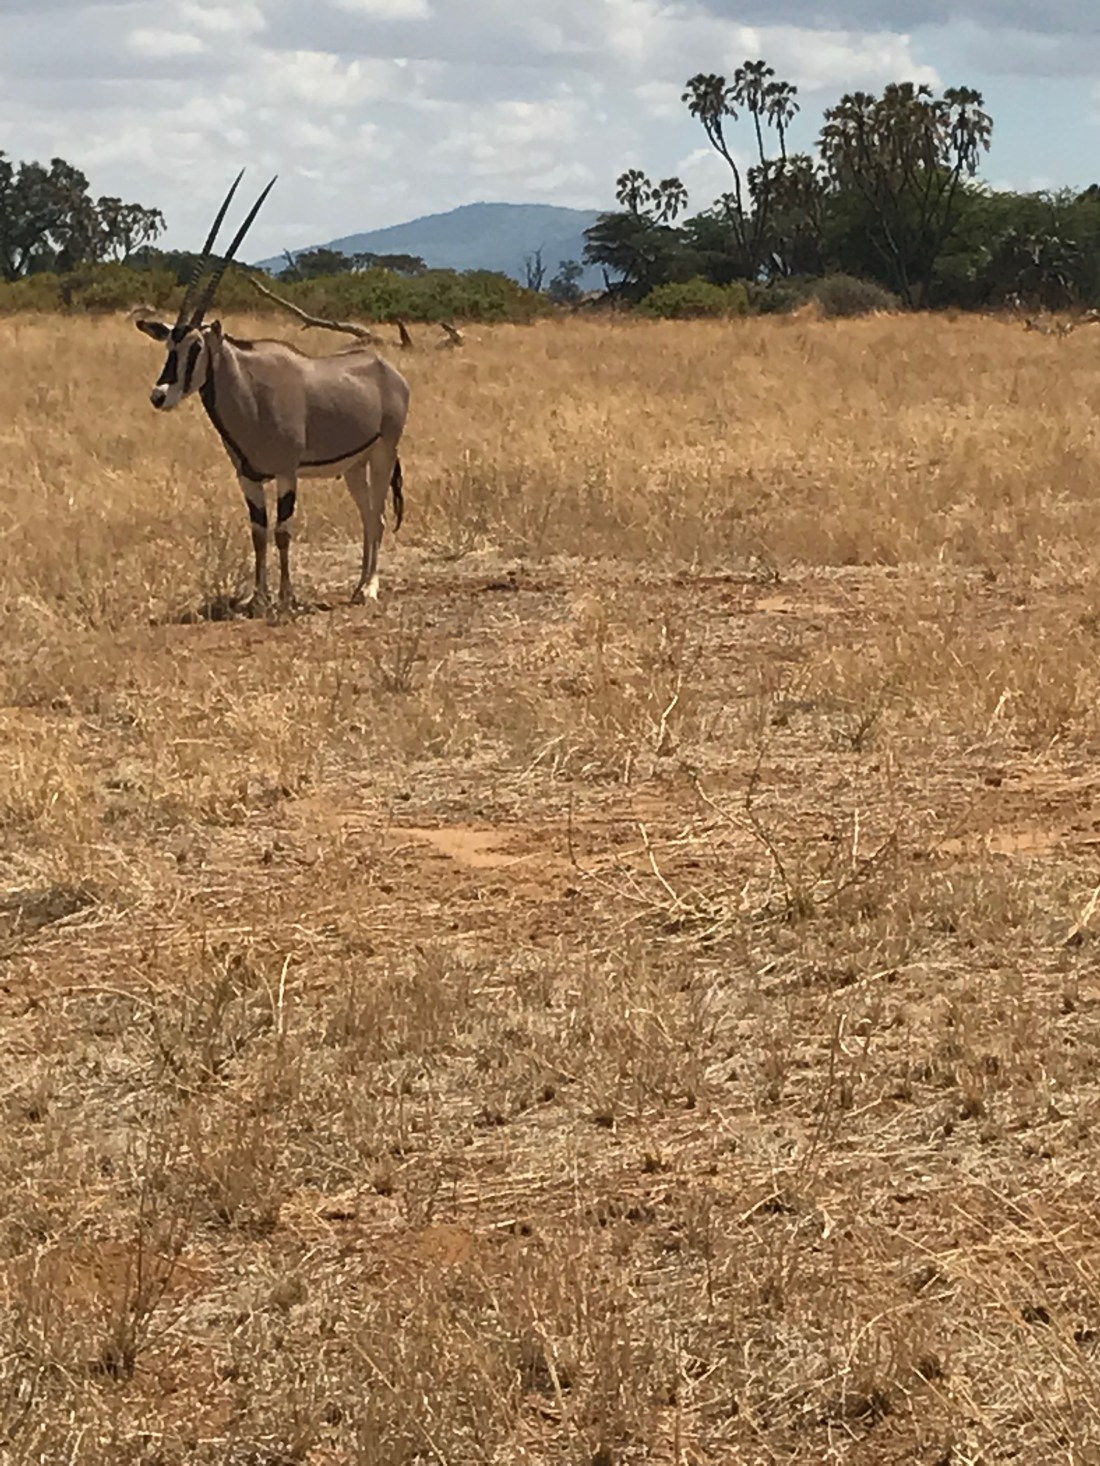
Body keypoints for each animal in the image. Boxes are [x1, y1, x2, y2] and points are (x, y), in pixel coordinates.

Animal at [136, 171, 411, 614]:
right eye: (169, 346)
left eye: (195, 348)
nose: (160, 395)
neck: (249, 390)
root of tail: (388, 371)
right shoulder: (248, 477)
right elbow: (258, 532)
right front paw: (257, 598)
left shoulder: (286, 472)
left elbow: (283, 531)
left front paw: (285, 598)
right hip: (355, 466)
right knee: (369, 516)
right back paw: (357, 586)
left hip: (384, 452)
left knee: (380, 516)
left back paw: (369, 587)